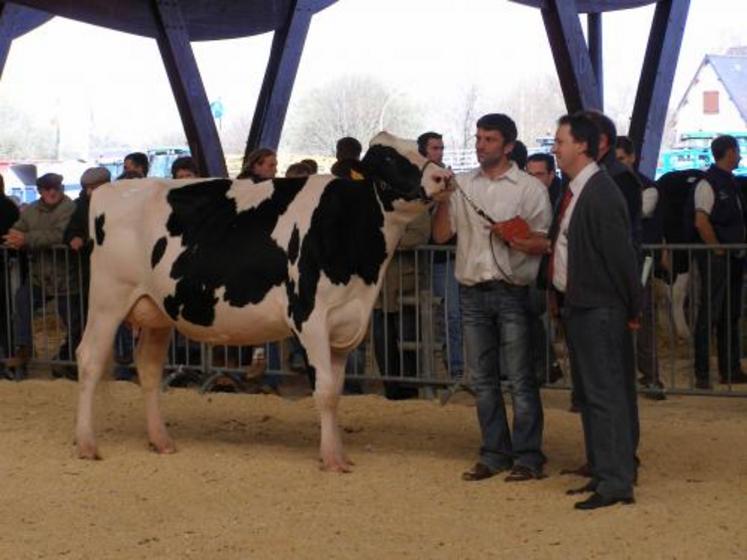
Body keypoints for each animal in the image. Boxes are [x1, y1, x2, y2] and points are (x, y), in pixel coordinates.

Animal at [76, 133, 452, 470]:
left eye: (419, 149)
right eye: (387, 159)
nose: (444, 177)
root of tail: (110, 190)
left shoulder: (347, 321)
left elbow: (336, 391)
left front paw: (340, 455)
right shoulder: (310, 318)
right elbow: (325, 392)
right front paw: (331, 459)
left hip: (157, 310)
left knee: (150, 367)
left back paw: (161, 441)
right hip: (108, 300)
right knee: (89, 358)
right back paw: (87, 445)